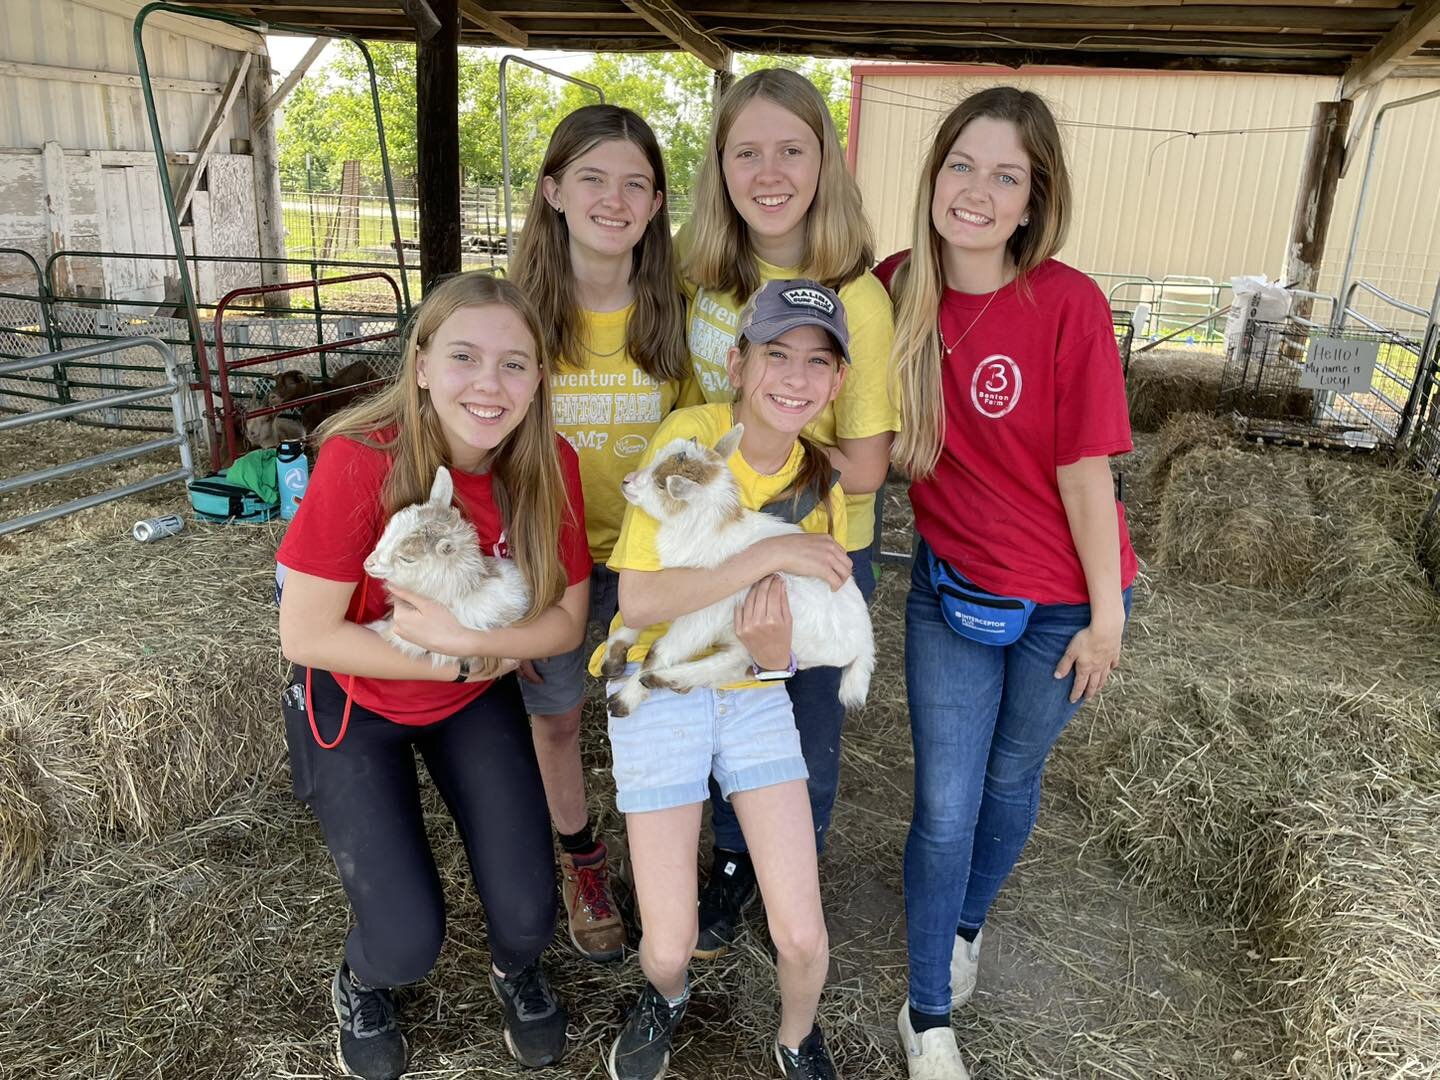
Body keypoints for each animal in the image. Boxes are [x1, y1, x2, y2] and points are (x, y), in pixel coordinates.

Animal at [599, 426, 875, 720]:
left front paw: (625, 698)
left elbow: (659, 650)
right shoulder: (670, 591)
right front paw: (614, 654)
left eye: (662, 485)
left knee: (736, 664)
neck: (708, 533)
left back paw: (657, 680)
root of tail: (865, 643)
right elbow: (637, 615)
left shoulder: (703, 614)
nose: (627, 481)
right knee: (737, 665)